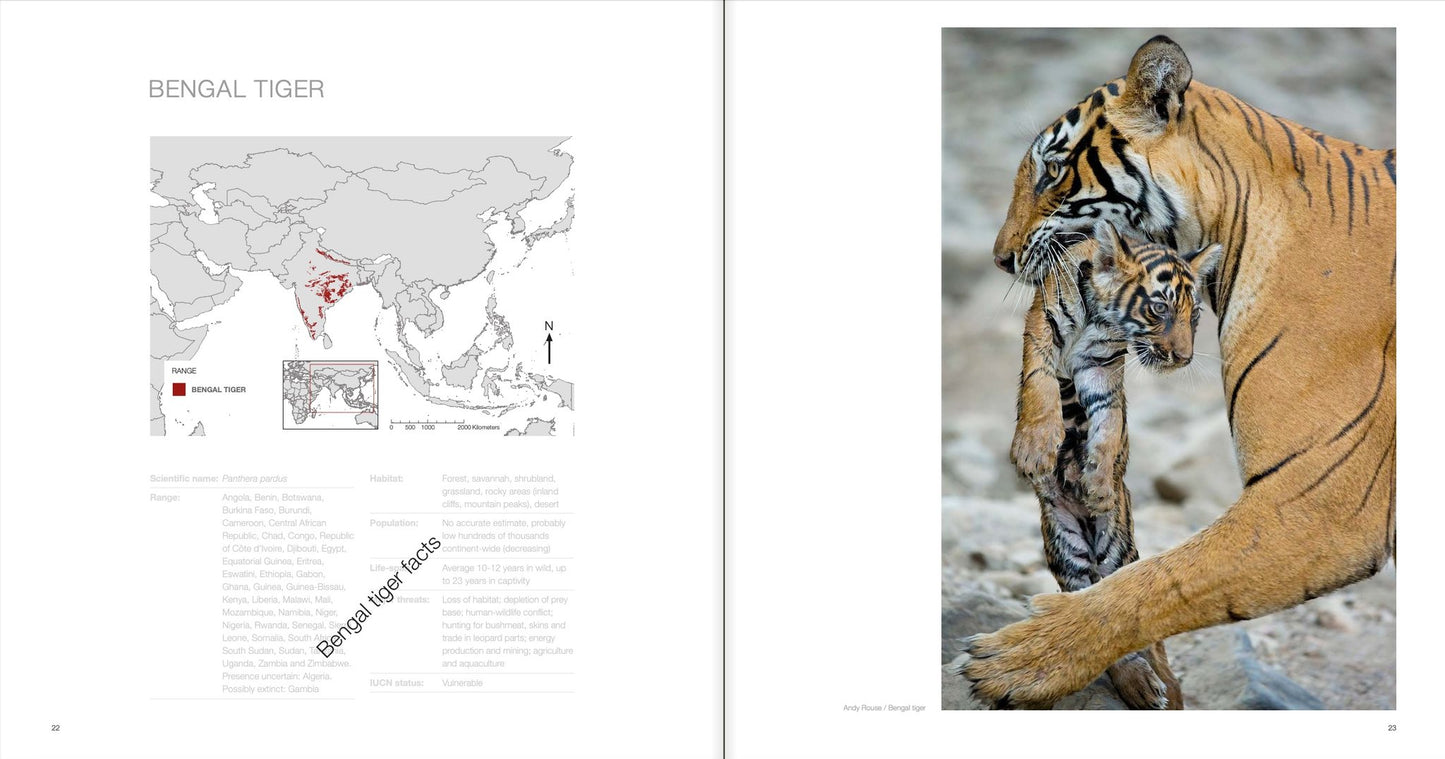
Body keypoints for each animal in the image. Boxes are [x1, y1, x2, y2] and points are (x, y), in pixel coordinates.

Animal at [1014, 220, 1221, 709]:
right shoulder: (1042, 328)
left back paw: (1156, 688)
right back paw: (1142, 685)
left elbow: (1108, 424)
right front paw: (1035, 448)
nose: (1183, 358)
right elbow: (1040, 384)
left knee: (1121, 619)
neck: (1100, 318)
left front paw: (1100, 483)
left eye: (1195, 317)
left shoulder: (1102, 366)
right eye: (1159, 308)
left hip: (1116, 549)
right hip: (1067, 547)